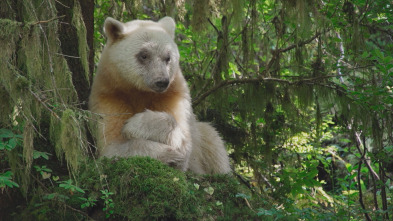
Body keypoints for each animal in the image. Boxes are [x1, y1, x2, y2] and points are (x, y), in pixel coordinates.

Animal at [89, 16, 230, 174]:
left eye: (167, 57)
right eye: (144, 55)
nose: (161, 81)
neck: (139, 91)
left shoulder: (173, 95)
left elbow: (184, 139)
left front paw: (134, 125)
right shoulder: (110, 96)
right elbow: (113, 146)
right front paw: (168, 154)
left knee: (212, 139)